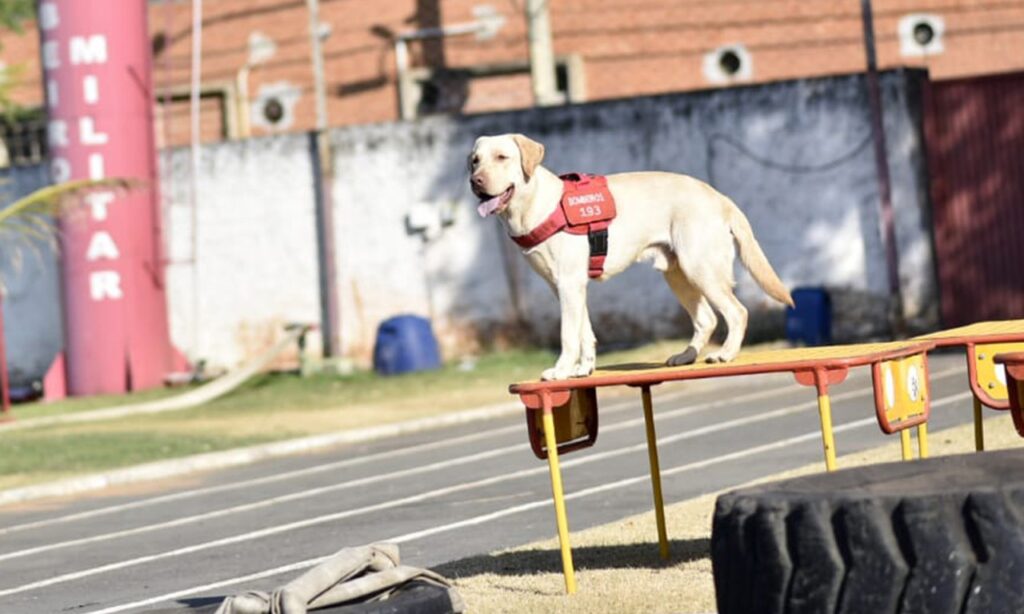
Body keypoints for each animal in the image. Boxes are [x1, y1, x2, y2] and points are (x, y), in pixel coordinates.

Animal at [468, 134, 794, 378]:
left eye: (502, 157)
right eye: (475, 160)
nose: (476, 181)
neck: (536, 204)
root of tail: (719, 196)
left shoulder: (569, 284)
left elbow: (568, 335)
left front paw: (561, 370)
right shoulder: (565, 287)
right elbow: (585, 332)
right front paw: (583, 369)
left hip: (700, 268)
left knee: (737, 312)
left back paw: (725, 354)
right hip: (677, 274)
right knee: (707, 319)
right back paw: (686, 356)